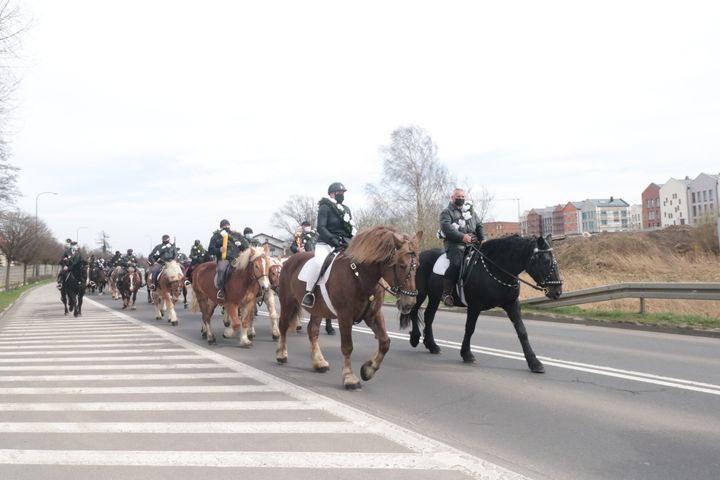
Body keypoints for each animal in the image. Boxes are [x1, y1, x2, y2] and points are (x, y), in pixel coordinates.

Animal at [276, 226, 422, 390]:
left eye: (418, 265)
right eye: (402, 265)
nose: (409, 303)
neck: (360, 276)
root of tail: (289, 260)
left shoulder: (374, 314)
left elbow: (385, 342)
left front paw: (368, 370)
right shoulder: (345, 316)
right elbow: (347, 347)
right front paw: (349, 378)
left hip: (317, 309)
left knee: (312, 331)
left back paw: (319, 363)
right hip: (287, 302)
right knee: (283, 326)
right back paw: (281, 354)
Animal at [400, 234, 564, 374]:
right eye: (546, 261)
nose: (557, 291)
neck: (496, 269)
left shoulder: (512, 304)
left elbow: (522, 331)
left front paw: (534, 363)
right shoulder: (475, 306)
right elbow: (470, 328)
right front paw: (466, 354)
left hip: (434, 297)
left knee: (428, 316)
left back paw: (432, 345)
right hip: (419, 294)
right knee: (413, 311)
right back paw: (415, 338)